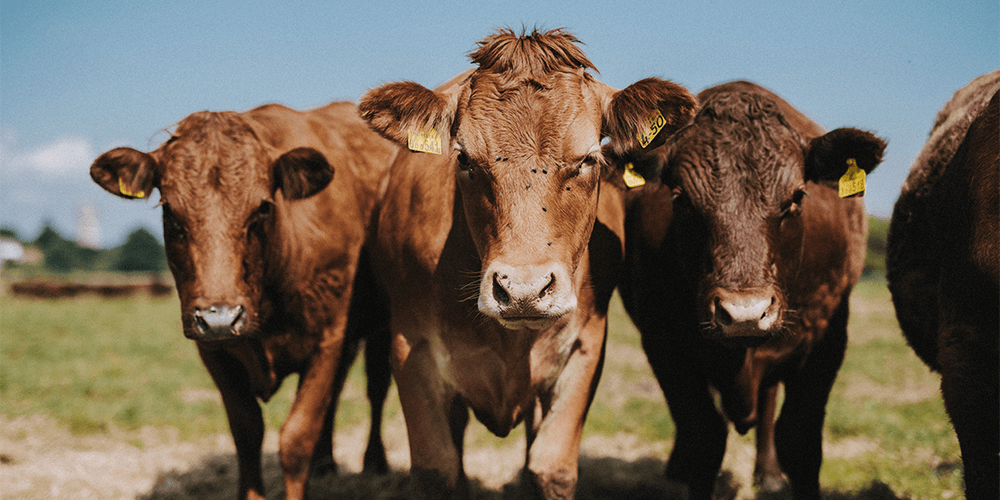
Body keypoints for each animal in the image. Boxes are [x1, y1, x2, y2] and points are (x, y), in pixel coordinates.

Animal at [88, 101, 394, 500]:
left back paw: (375, 461)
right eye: (169, 211)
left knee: (376, 388)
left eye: (263, 207)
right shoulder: (213, 350)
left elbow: (297, 438)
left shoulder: (327, 340)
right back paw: (325, 463)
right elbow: (247, 432)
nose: (220, 317)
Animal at [358, 29, 696, 498]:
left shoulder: (585, 345)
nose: (523, 291)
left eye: (588, 159)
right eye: (464, 159)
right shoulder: (411, 347)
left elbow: (551, 466)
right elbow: (438, 469)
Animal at [620, 80, 888, 498]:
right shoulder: (662, 341)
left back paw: (769, 474)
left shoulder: (826, 339)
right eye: (681, 199)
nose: (745, 313)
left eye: (796, 197)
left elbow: (800, 441)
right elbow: (703, 438)